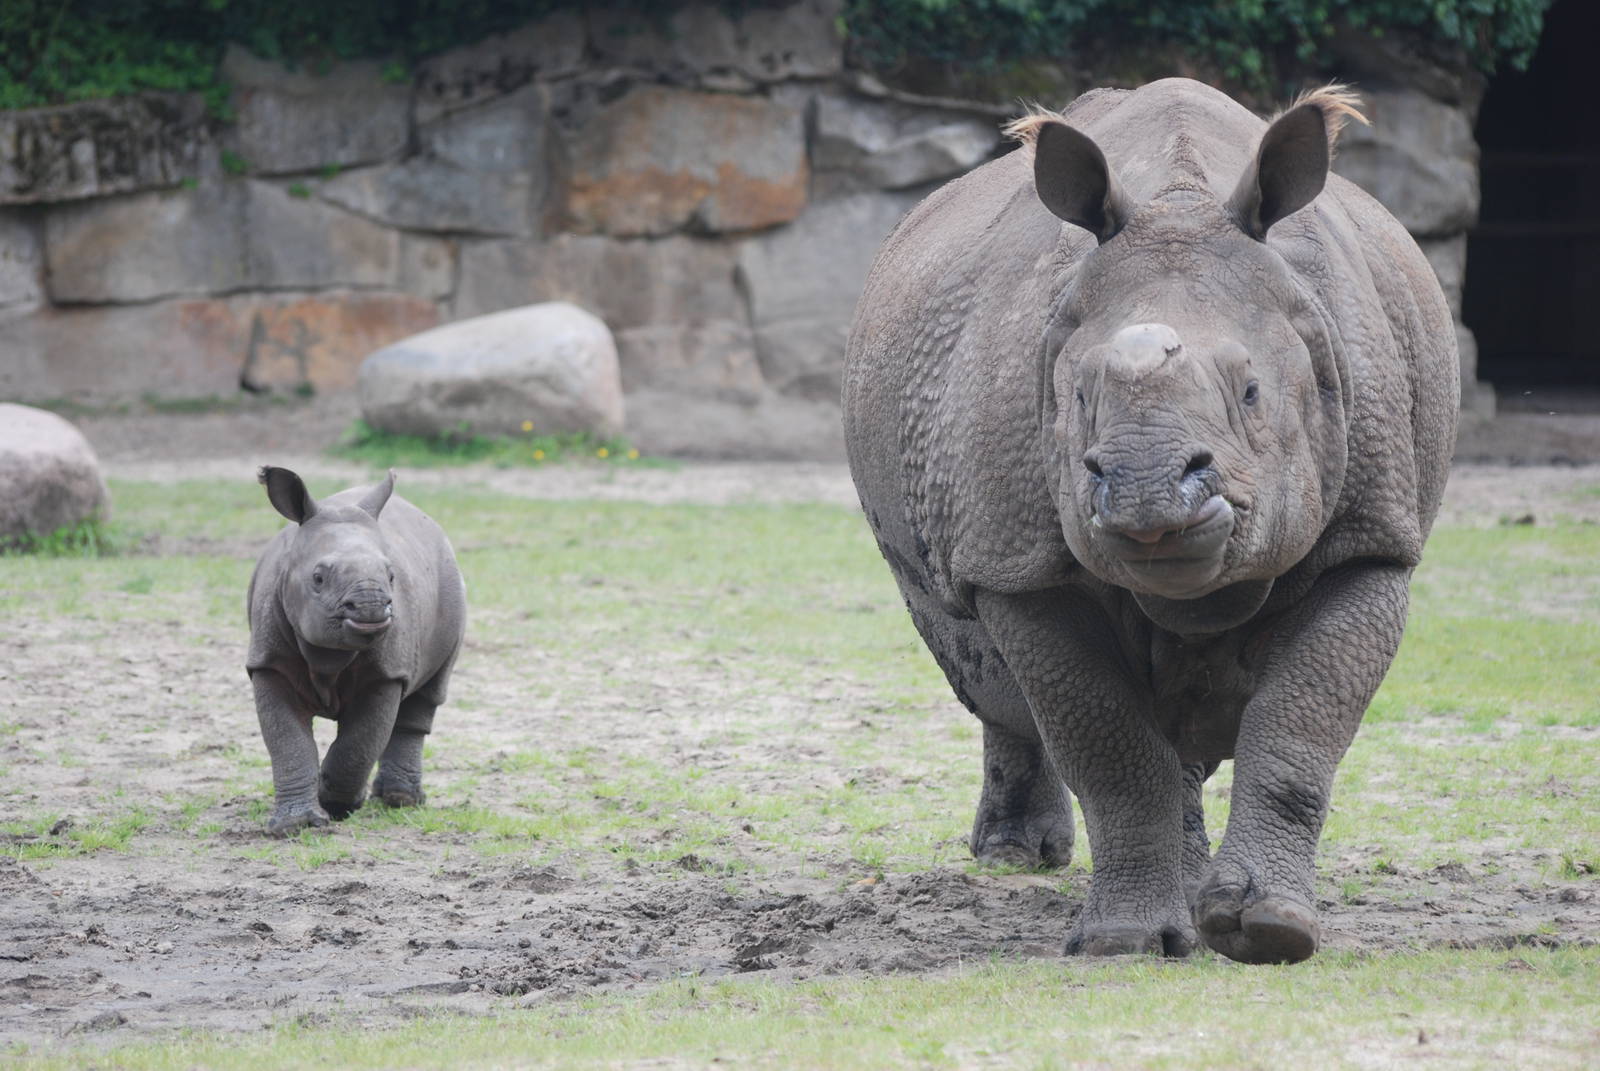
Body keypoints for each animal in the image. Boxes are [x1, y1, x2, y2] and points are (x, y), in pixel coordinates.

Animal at [247, 467, 466, 836]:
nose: (371, 606)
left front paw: (336, 803)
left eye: (391, 575)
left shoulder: (387, 674)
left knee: (430, 691)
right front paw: (294, 825)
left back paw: (400, 800)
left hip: (453, 583)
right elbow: (287, 740)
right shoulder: (267, 662)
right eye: (318, 578)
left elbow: (359, 743)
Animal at [843, 79, 1458, 964]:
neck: (1183, 198)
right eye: (1075, 397)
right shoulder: (1020, 563)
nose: (1144, 489)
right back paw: (1020, 859)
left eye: (1251, 393)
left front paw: (1268, 930)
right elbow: (1109, 745)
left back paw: (1193, 891)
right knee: (987, 665)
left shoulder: (1371, 541)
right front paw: (1126, 940)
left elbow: (1298, 727)